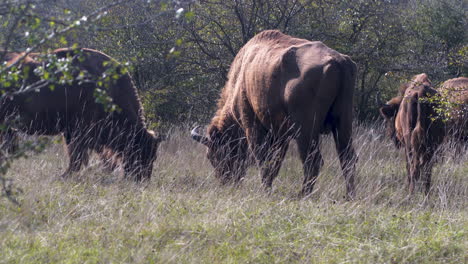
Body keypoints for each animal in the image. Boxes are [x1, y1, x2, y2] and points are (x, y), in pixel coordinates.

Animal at [0, 47, 163, 180]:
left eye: (153, 156)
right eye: (141, 151)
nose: (142, 180)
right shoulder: (78, 133)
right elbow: (78, 159)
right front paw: (65, 176)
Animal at [192, 29, 356, 198]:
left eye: (213, 155)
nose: (226, 181)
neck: (240, 78)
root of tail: (338, 61)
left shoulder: (253, 126)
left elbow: (262, 159)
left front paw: (265, 189)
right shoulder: (281, 135)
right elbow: (274, 163)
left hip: (305, 131)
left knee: (313, 161)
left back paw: (303, 194)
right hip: (343, 123)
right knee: (347, 158)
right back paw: (349, 196)